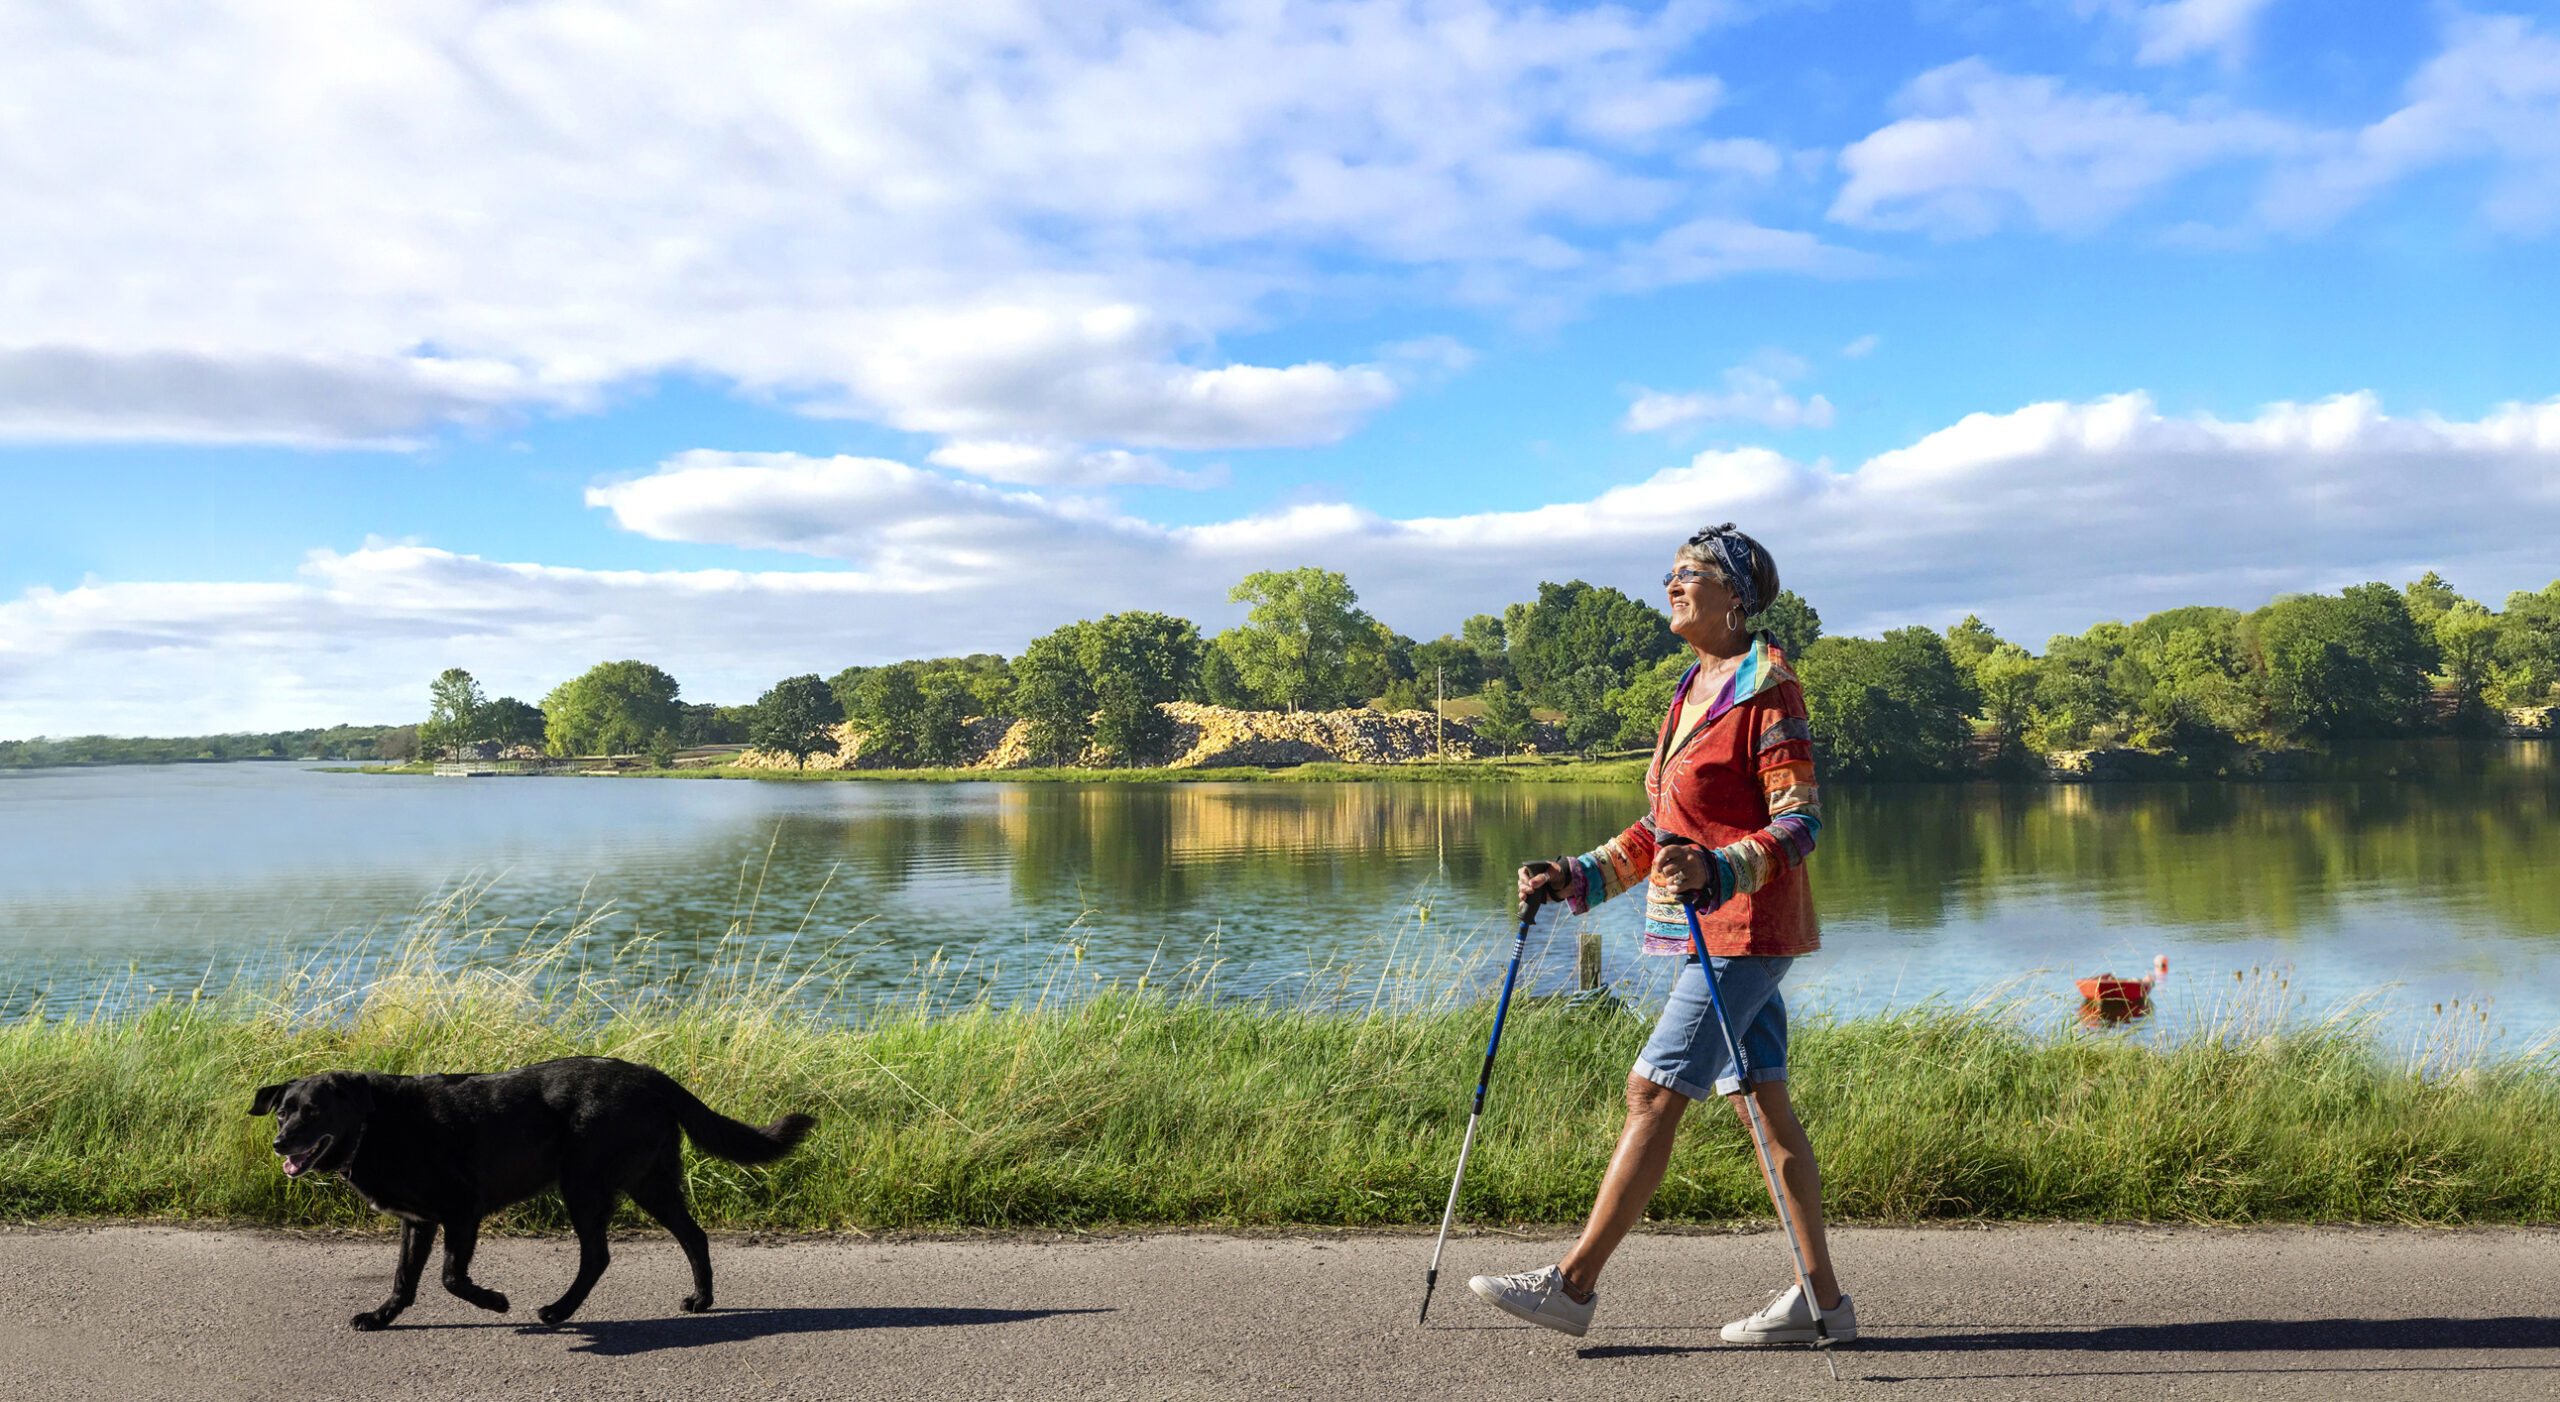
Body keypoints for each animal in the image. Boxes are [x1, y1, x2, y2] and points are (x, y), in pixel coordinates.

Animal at [245, 1059, 814, 1330]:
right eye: (282, 1111)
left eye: (314, 1111)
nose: (279, 1142)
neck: (373, 1124)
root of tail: (651, 1075)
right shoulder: (419, 1221)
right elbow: (405, 1280)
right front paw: (382, 1318)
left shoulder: (462, 1209)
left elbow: (451, 1277)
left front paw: (494, 1301)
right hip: (650, 1183)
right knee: (693, 1236)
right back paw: (701, 1299)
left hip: (586, 1185)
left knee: (598, 1256)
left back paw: (558, 1312)